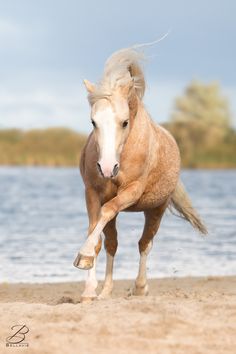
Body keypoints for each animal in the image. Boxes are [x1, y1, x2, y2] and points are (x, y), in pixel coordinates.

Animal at [73, 46, 206, 302]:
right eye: (93, 122)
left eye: (125, 122)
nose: (107, 168)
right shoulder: (92, 192)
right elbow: (96, 232)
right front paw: (88, 287)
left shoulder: (132, 192)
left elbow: (106, 215)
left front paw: (83, 256)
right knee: (112, 244)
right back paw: (106, 291)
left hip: (157, 208)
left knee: (145, 244)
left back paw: (140, 287)